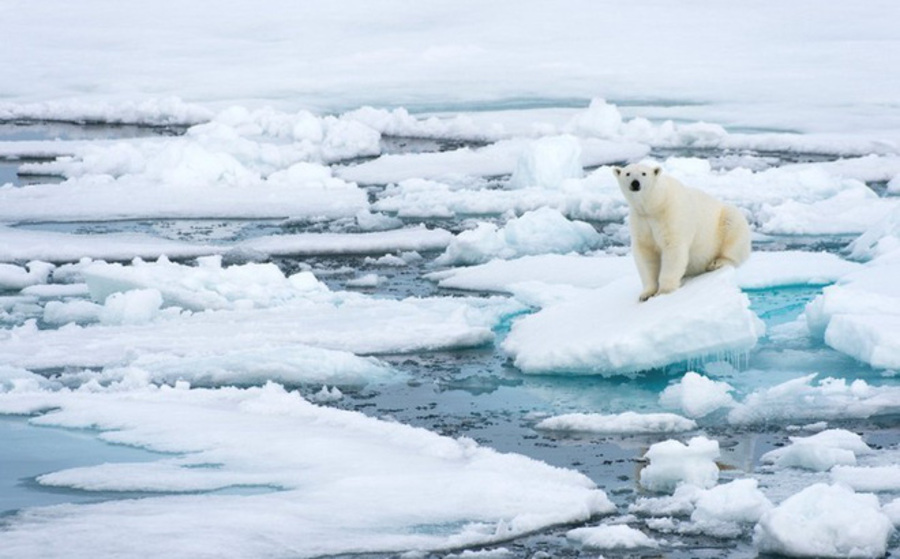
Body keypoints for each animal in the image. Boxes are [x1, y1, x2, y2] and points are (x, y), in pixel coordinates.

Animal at [612, 162, 752, 302]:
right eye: (628, 173)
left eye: (643, 173)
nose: (635, 183)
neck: (654, 204)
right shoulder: (641, 221)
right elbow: (646, 253)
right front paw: (646, 294)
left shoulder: (670, 214)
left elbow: (672, 249)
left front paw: (664, 291)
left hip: (724, 221)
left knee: (733, 234)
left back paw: (716, 262)